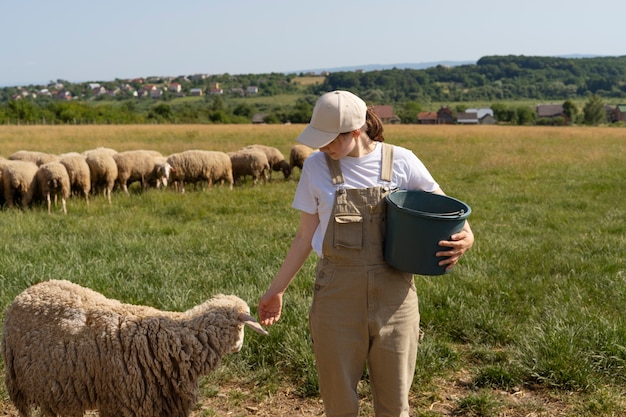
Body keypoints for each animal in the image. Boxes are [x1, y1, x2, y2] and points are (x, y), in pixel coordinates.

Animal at [2, 278, 266, 416]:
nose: (239, 348)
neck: (176, 339)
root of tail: (28, 291)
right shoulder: (125, 401)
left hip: (54, 383)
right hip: (22, 381)